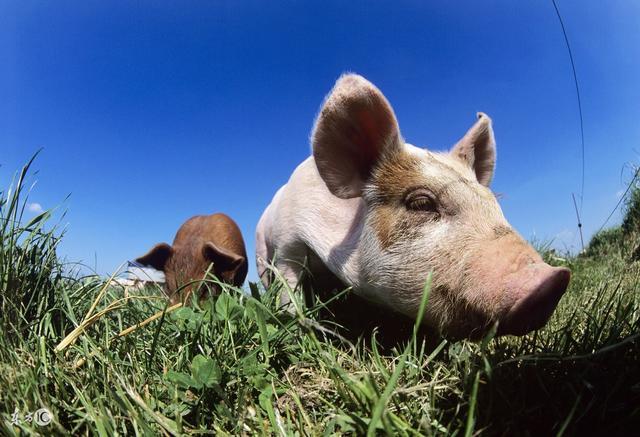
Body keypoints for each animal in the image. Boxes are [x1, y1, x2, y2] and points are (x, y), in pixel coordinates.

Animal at [255, 74, 568, 340]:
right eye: (421, 203)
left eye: (493, 204)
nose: (554, 278)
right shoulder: (287, 243)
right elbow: (289, 285)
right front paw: (296, 326)